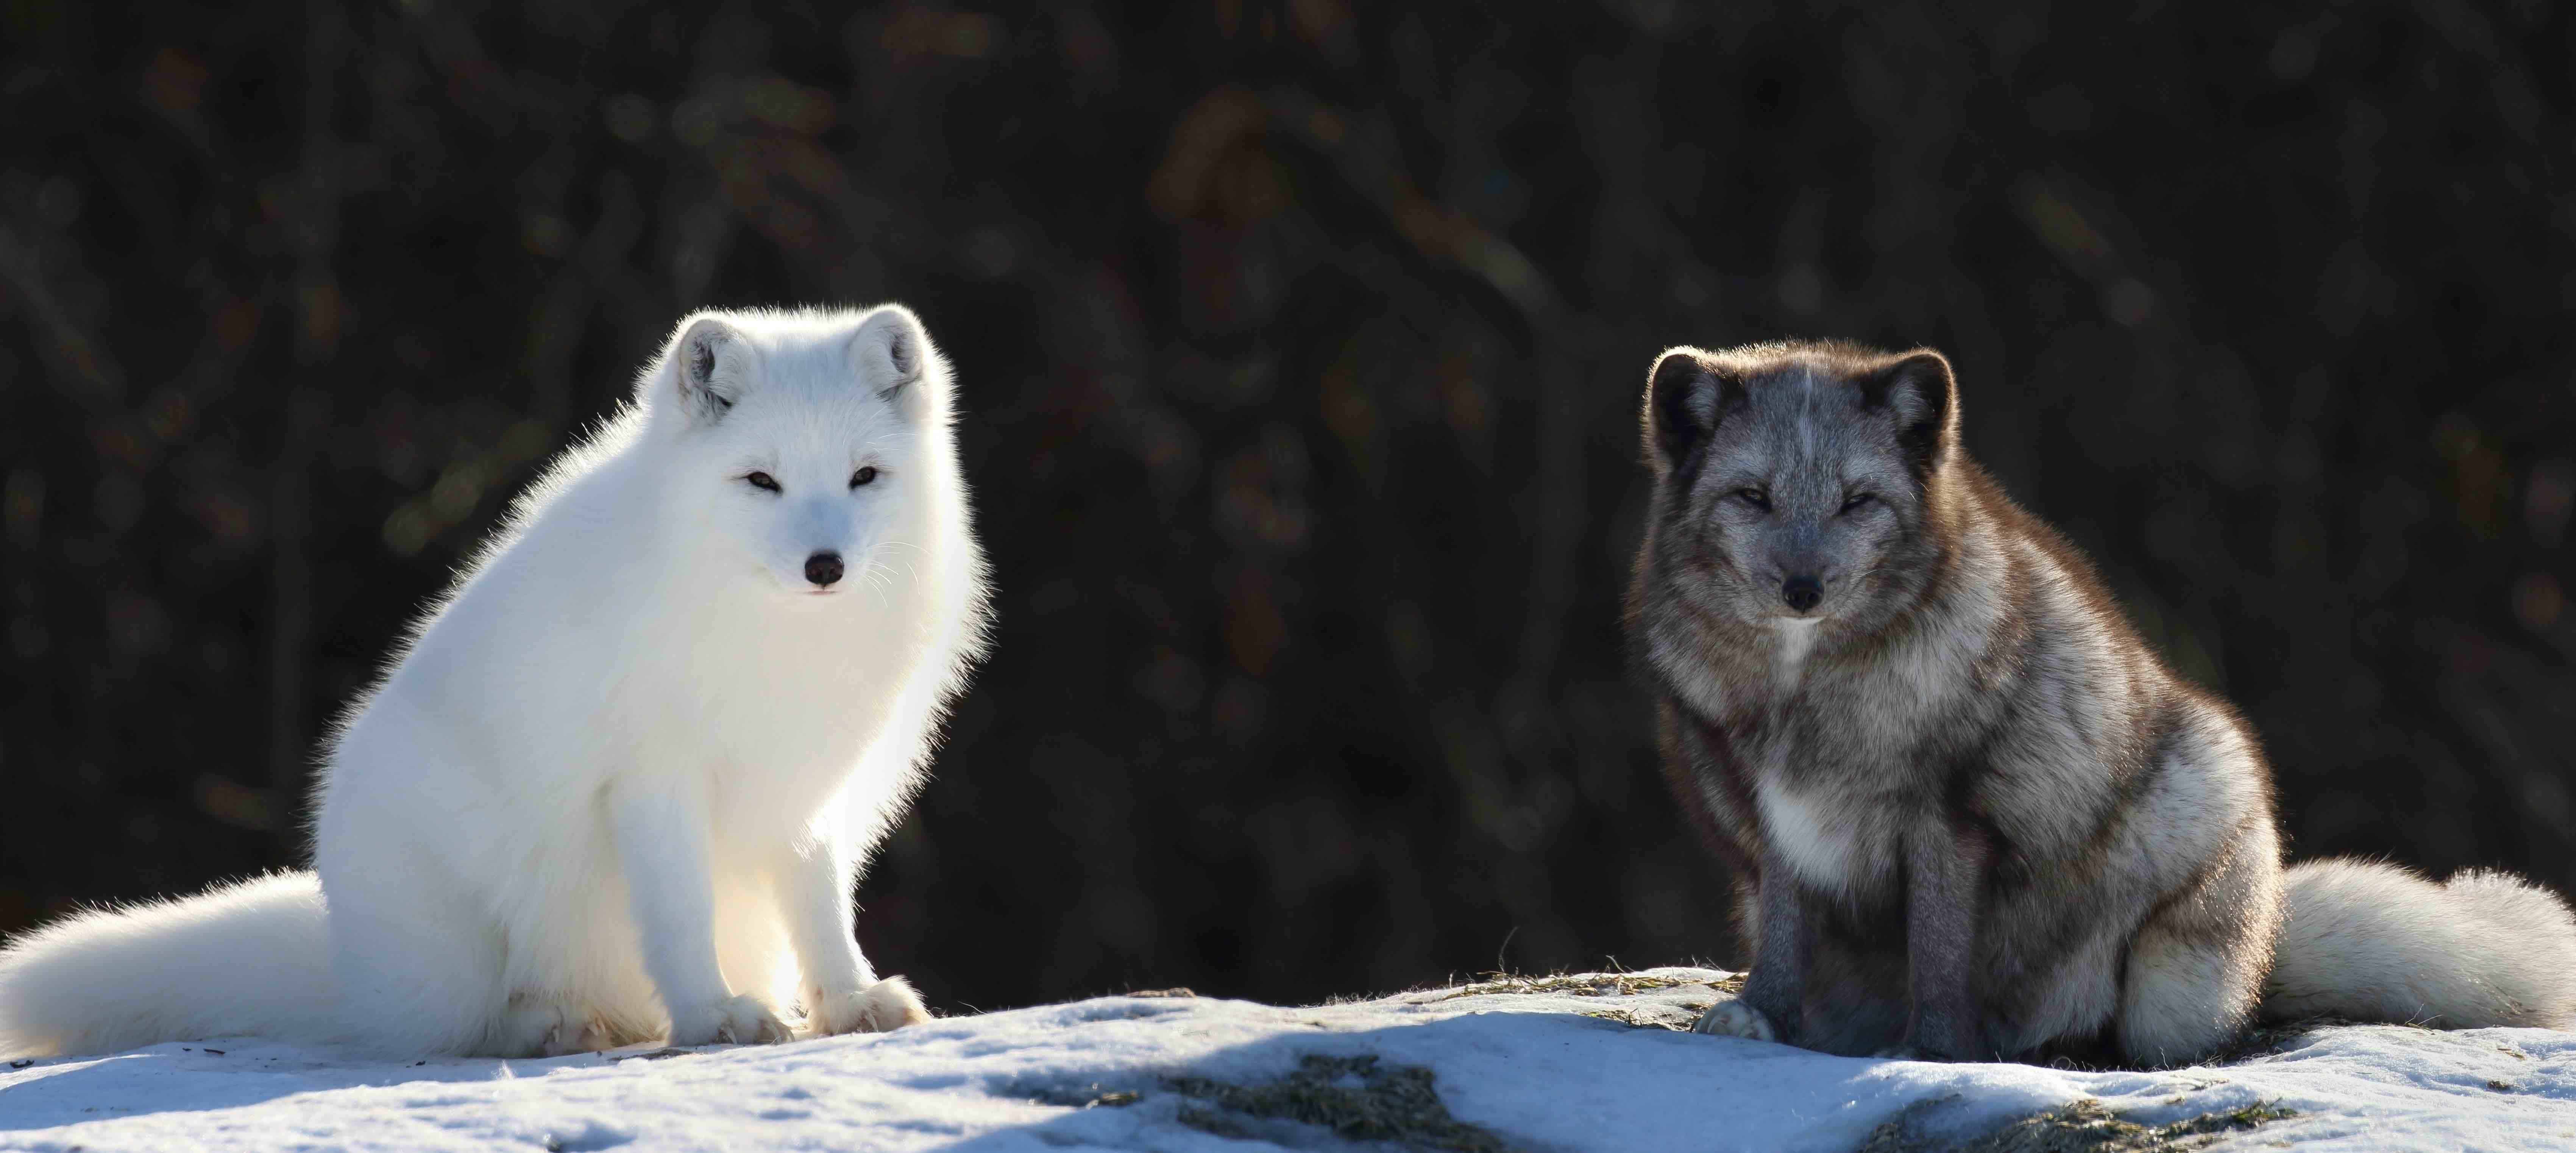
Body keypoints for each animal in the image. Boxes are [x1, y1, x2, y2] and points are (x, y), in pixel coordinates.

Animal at [0, 304, 984, 1055]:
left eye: (863, 477)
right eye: (761, 481)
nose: (825, 566)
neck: (778, 641)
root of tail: (343, 950)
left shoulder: (807, 791)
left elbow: (821, 911)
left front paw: (848, 1001)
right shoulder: (651, 777)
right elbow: (677, 915)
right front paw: (713, 1015)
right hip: (459, 940)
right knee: (451, 1029)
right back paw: (552, 1026)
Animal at [1628, 340, 2576, 1060]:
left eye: (1858, 501)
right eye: (1751, 496)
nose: (1802, 589)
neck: (1804, 688)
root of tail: (2268, 938)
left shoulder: (1950, 814)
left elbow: (1937, 950)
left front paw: (1931, 1048)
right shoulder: (1772, 820)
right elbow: (1783, 936)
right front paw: (1764, 1015)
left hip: (2176, 928)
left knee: (2152, 1028)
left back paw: (2064, 1041)